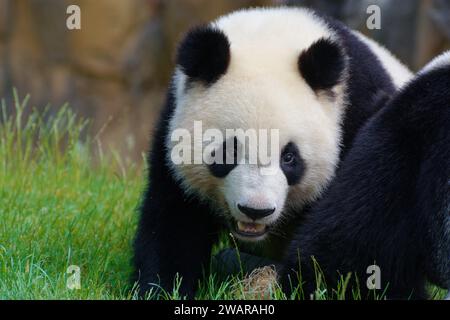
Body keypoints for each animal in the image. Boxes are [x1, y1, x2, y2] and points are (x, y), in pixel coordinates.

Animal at [132, 6, 414, 298]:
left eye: (289, 157)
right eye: (228, 153)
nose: (256, 210)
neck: (269, 37)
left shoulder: (357, 112)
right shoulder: (173, 121)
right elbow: (173, 217)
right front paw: (162, 288)